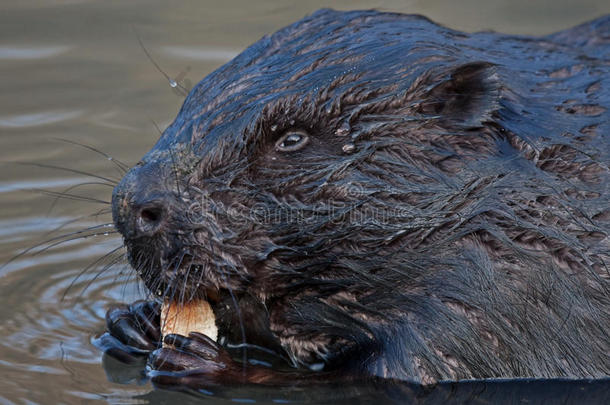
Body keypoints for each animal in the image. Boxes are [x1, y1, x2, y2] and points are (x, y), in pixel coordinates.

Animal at [96, 9, 608, 388]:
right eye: (191, 98)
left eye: (292, 138)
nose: (131, 206)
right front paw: (132, 322)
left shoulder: (510, 295)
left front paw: (199, 359)